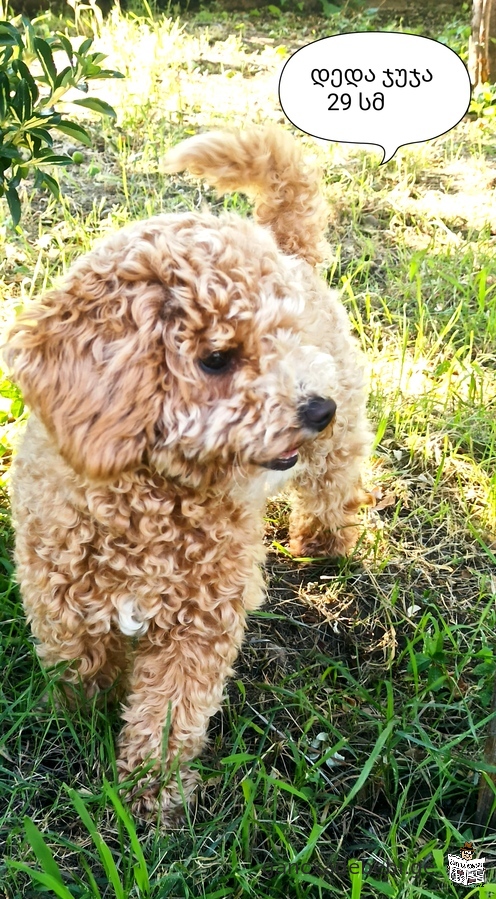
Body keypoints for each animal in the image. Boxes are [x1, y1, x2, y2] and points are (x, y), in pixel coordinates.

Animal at [5, 126, 372, 824]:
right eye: (217, 358)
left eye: (286, 339)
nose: (318, 409)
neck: (145, 498)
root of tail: (291, 247)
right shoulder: (59, 597)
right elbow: (77, 667)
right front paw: (73, 720)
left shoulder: (198, 624)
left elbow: (170, 713)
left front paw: (151, 800)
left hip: (340, 439)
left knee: (337, 483)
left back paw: (326, 544)